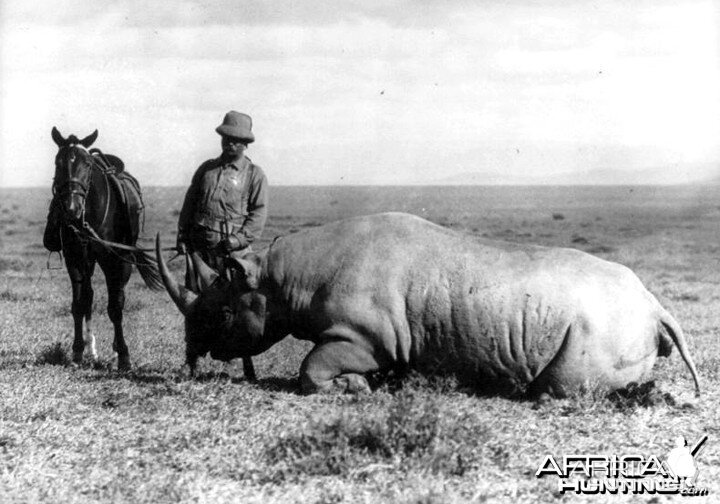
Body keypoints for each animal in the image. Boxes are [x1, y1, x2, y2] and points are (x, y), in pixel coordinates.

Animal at [49, 127, 163, 370]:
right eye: (57, 162)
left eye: (87, 164)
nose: (72, 208)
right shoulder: (75, 258)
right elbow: (79, 304)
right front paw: (77, 351)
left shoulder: (115, 260)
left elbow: (115, 307)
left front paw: (123, 355)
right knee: (89, 296)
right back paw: (91, 349)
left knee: (117, 295)